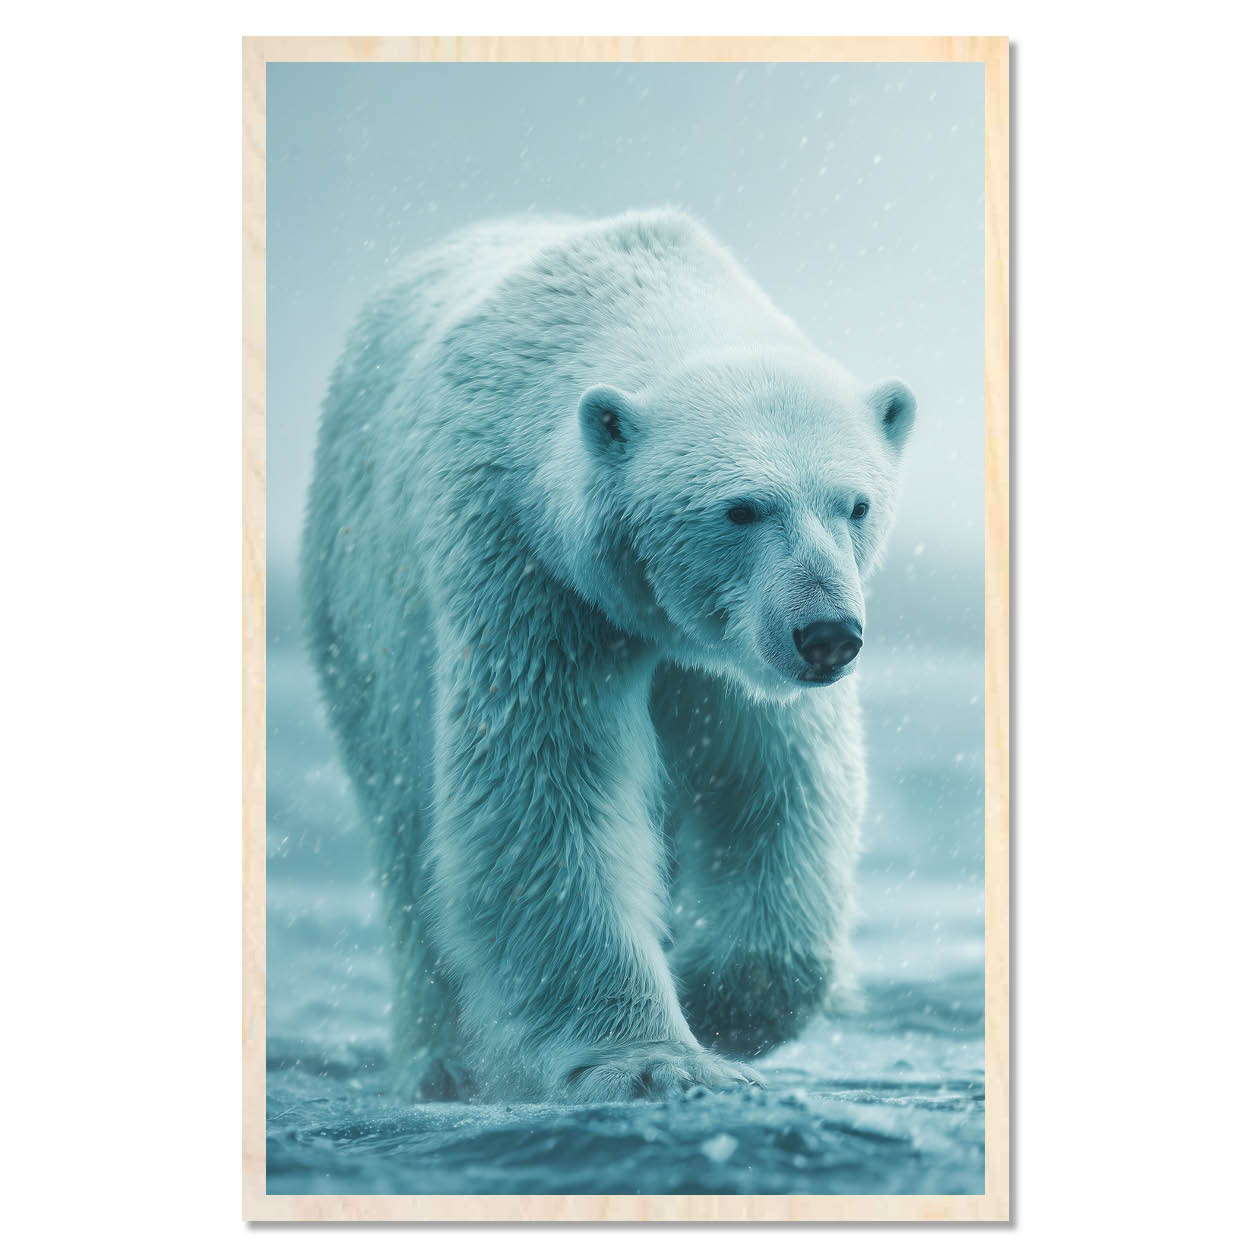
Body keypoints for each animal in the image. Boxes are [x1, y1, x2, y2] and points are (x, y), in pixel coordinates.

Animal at [301, 208, 916, 1103]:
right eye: (742, 508)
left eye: (856, 504)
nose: (827, 633)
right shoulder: (529, 570)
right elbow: (544, 790)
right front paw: (659, 1061)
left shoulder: (728, 656)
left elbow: (778, 782)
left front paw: (715, 995)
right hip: (363, 621)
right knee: (408, 836)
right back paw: (446, 1065)